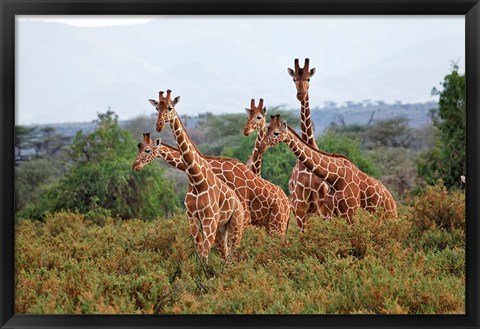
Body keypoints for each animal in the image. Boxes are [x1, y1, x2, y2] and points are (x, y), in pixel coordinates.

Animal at [131, 132, 290, 234]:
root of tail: (288, 204)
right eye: (139, 148)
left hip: (277, 224)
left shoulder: (243, 214)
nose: (135, 166)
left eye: (147, 150)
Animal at [146, 88, 246, 260]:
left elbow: (205, 255)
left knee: (234, 254)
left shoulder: (209, 221)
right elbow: (200, 256)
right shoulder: (193, 220)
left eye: (170, 108)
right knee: (226, 255)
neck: (196, 178)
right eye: (157, 108)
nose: (159, 125)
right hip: (222, 230)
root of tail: (239, 204)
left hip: (235, 225)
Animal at [258, 113, 398, 223]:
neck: (334, 178)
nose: (261, 147)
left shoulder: (351, 212)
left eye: (276, 133)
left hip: (389, 215)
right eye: (267, 129)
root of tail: (391, 198)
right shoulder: (332, 213)